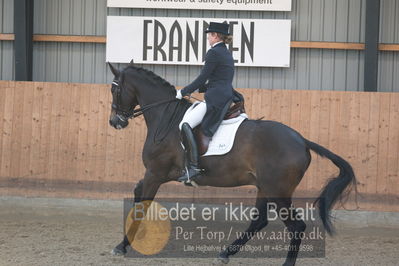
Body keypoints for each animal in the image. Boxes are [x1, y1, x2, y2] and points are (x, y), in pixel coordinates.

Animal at [106, 61, 356, 264]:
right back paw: (225, 253)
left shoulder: (155, 173)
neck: (166, 118)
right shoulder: (155, 174)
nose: (115, 121)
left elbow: (141, 207)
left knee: (296, 226)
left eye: (114, 89)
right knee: (259, 221)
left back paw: (284, 263)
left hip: (278, 191)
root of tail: (302, 140)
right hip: (265, 187)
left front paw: (122, 246)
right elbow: (137, 194)